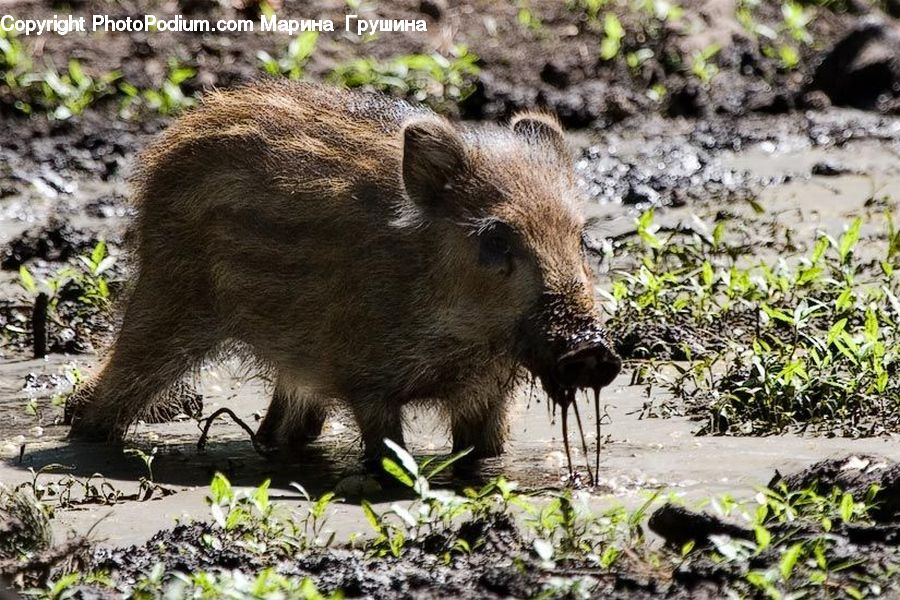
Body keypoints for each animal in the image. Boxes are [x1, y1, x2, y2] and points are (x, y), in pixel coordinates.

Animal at [65, 81, 621, 463]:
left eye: (579, 237)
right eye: (496, 239)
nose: (592, 348)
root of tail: (164, 149)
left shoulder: (489, 394)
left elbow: (486, 456)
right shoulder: (368, 382)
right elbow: (387, 456)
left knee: (285, 427)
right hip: (169, 298)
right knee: (99, 397)